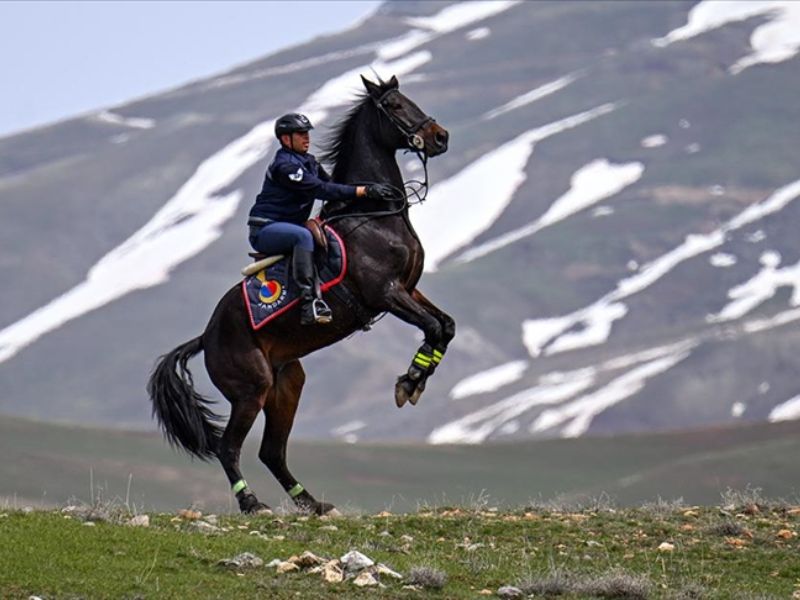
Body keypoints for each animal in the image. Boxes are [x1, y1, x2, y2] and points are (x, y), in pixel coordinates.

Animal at [147, 75, 454, 516]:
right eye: (395, 105)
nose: (440, 136)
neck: (375, 216)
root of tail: (206, 336)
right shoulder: (386, 293)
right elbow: (432, 326)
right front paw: (409, 381)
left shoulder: (409, 288)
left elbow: (445, 326)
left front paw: (413, 383)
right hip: (251, 390)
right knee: (228, 448)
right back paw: (253, 504)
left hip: (286, 384)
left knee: (271, 452)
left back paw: (313, 503)